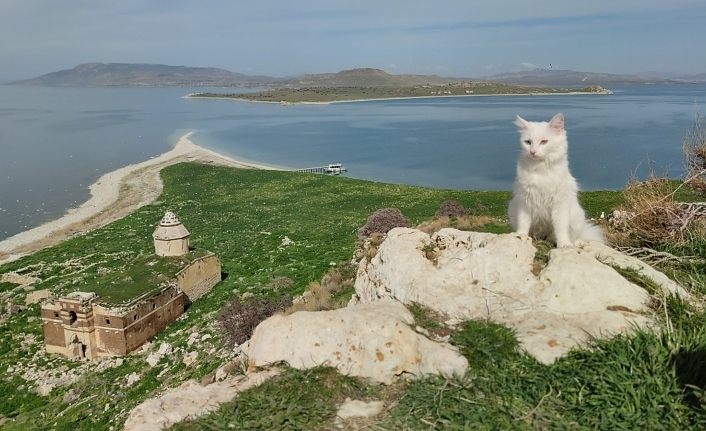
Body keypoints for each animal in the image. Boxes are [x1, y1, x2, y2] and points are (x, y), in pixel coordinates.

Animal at [508, 113, 604, 248]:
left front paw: (564, 244)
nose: (532, 152)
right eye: (528, 142)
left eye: (544, 141)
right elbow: (523, 223)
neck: (540, 169)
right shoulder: (524, 200)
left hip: (577, 216)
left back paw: (574, 243)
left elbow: (560, 228)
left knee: (574, 237)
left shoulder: (559, 203)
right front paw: (521, 236)